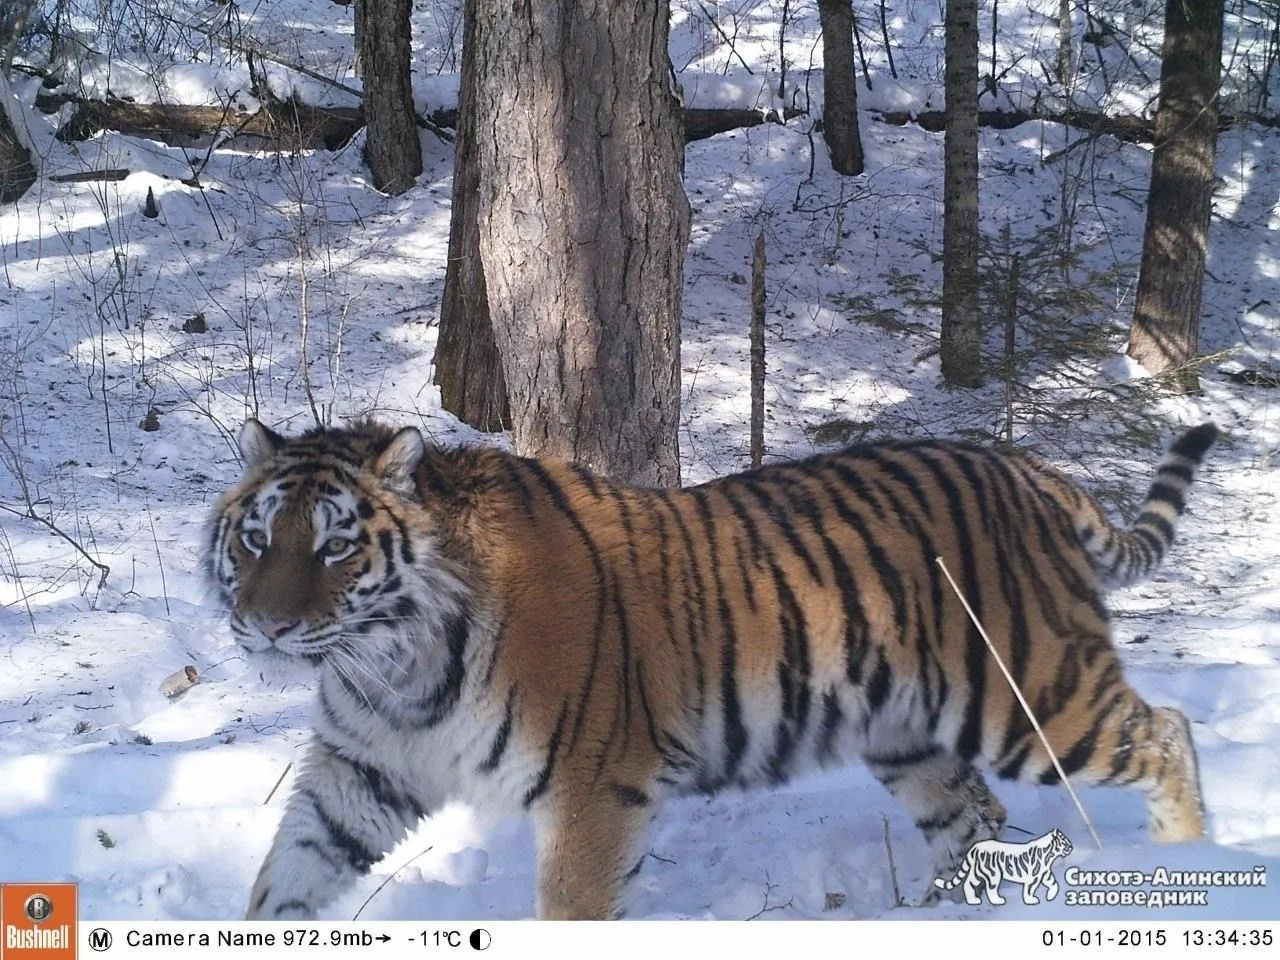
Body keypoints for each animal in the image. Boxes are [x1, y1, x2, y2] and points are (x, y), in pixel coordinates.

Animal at [936, 829, 1075, 911]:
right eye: (1064, 840)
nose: (1071, 847)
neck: (1049, 855)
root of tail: (975, 847)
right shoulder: (1032, 877)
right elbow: (1029, 890)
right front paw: (1031, 900)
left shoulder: (1045, 874)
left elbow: (1053, 883)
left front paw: (1051, 896)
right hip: (992, 874)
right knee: (990, 889)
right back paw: (997, 900)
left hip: (978, 872)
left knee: (968, 884)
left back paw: (973, 900)